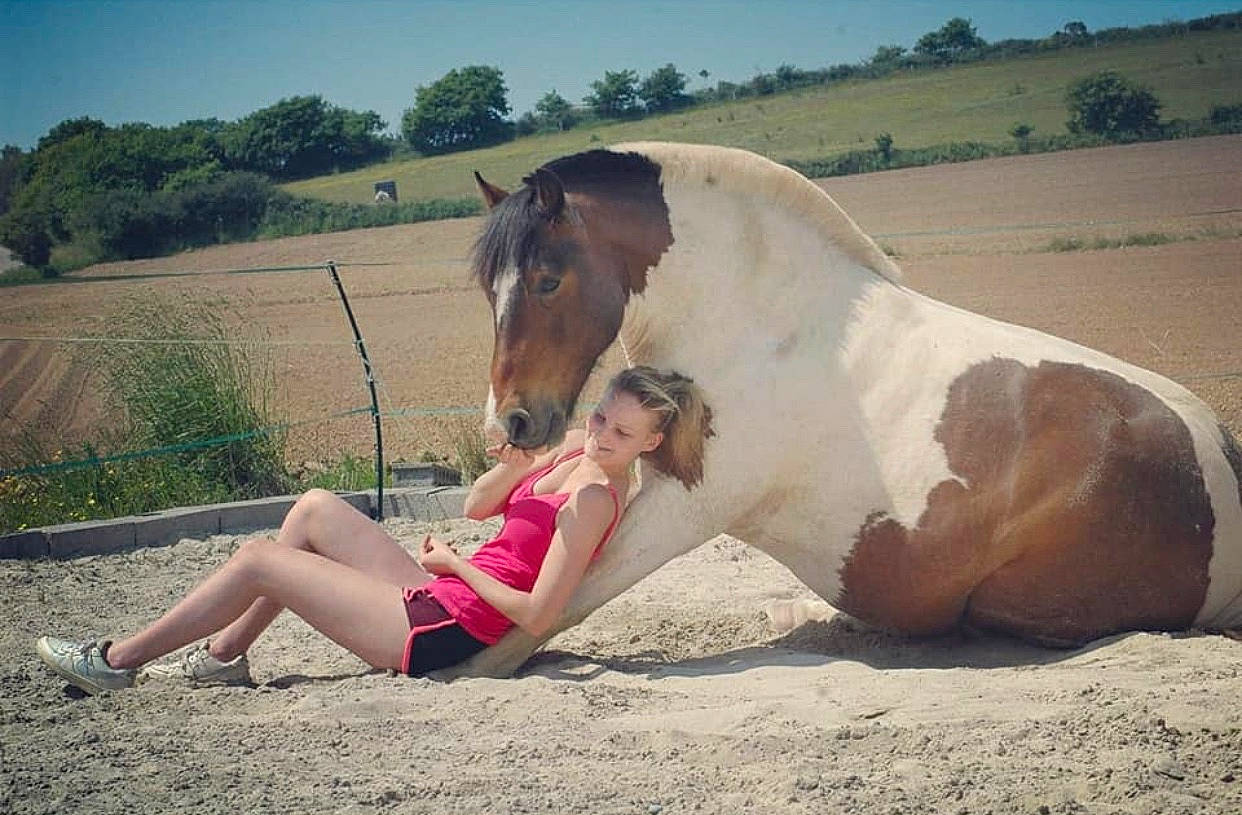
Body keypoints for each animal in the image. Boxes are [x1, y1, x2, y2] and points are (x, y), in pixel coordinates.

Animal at [453, 141, 1242, 677]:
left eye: (548, 280)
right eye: (490, 288)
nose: (510, 424)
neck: (757, 320)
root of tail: (1218, 449)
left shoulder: (687, 505)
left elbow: (554, 607)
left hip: (1028, 598)